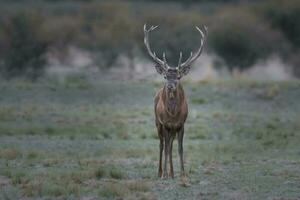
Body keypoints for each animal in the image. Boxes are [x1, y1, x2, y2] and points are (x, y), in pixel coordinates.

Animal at [144, 23, 207, 178]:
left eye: (178, 76)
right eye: (166, 76)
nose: (170, 85)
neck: (173, 114)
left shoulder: (181, 124)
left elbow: (180, 148)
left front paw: (183, 173)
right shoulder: (166, 123)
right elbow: (166, 148)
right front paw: (165, 174)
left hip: (172, 130)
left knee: (171, 145)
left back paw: (172, 174)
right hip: (158, 123)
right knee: (162, 145)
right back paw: (161, 172)